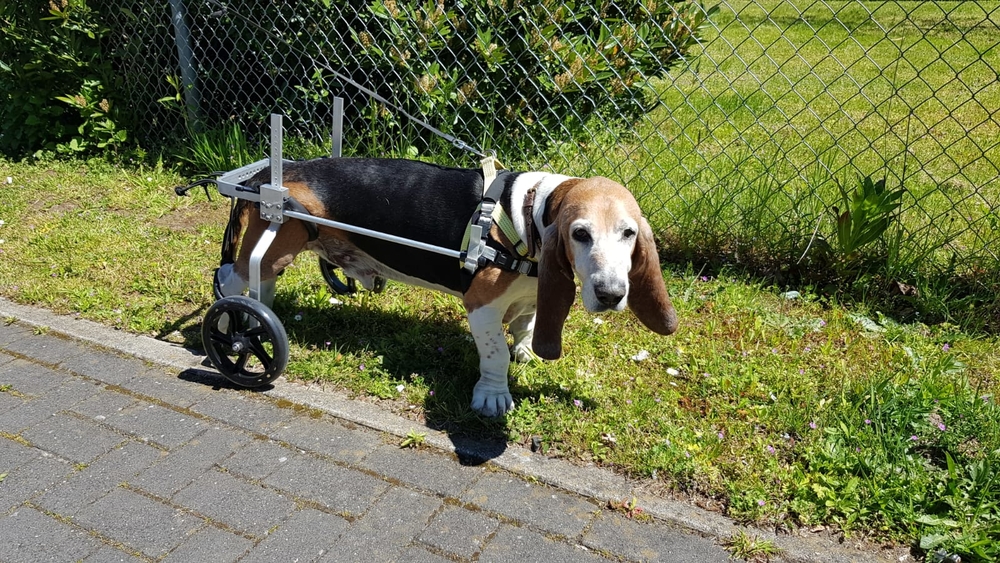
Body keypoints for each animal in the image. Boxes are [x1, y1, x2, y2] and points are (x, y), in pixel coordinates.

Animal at [214, 156, 676, 416]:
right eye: (580, 234)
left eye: (629, 233)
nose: (612, 294)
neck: (527, 216)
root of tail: (267, 175)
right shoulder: (482, 306)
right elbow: (495, 357)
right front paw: (492, 397)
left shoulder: (531, 299)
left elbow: (525, 327)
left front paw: (526, 351)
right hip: (277, 243)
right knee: (232, 280)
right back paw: (231, 328)